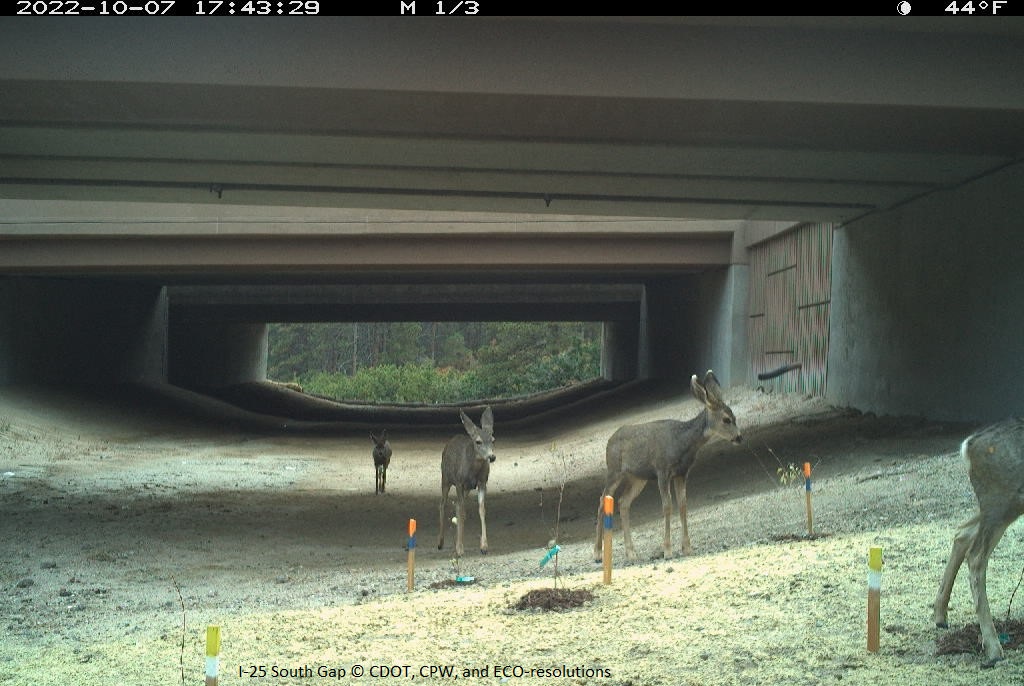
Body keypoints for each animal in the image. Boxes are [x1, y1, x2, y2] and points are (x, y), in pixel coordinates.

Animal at [436, 409, 495, 556]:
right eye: (478, 441)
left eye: (493, 440)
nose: (492, 457)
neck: (473, 470)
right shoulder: (459, 482)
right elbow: (462, 511)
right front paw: (459, 548)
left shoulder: (482, 482)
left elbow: (481, 509)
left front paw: (484, 546)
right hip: (445, 478)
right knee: (442, 504)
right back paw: (440, 542)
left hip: (467, 488)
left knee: (457, 505)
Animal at [593, 370, 745, 565]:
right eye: (726, 419)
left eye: (735, 417)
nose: (739, 437)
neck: (681, 443)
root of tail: (609, 441)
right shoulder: (662, 470)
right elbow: (667, 506)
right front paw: (667, 550)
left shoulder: (682, 473)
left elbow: (683, 504)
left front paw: (687, 548)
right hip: (614, 470)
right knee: (602, 500)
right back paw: (597, 553)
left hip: (638, 478)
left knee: (623, 502)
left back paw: (631, 553)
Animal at [937, 415, 1024, 667]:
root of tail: (968, 446)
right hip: (1000, 500)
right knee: (976, 557)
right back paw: (994, 650)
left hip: (997, 505)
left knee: (962, 533)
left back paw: (940, 616)